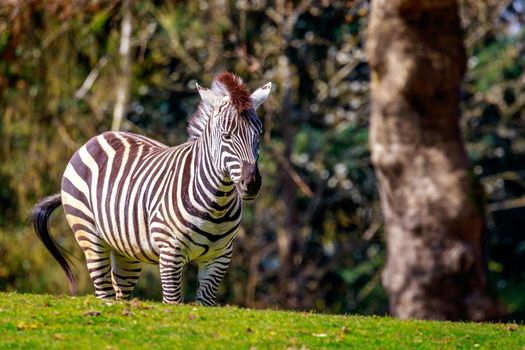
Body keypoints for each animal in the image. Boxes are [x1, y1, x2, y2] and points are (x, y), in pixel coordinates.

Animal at [30, 72, 270, 304]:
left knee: (120, 292)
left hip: (126, 249)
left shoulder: (219, 257)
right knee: (103, 291)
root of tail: (100, 136)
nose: (252, 184)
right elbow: (173, 302)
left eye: (258, 134)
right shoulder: (170, 253)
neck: (217, 204)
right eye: (226, 136)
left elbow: (205, 303)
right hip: (89, 234)